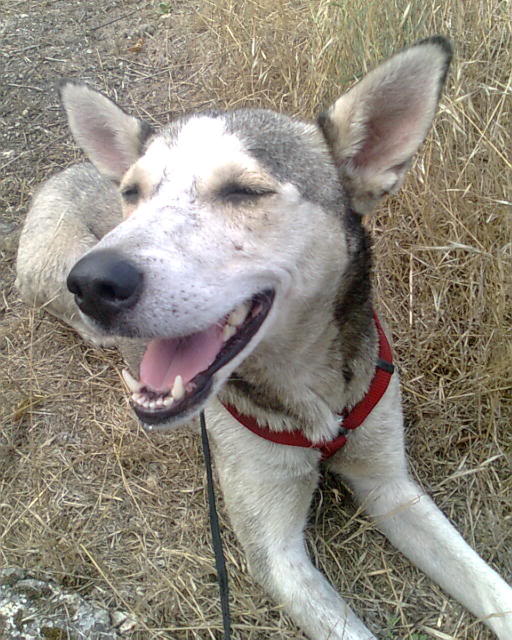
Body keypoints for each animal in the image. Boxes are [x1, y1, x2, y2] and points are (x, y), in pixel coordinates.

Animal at [16, 38, 512, 640]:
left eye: (244, 191)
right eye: (132, 193)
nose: (95, 280)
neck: (313, 399)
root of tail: (66, 169)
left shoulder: (393, 486)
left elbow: (488, 584)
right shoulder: (276, 554)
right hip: (53, 278)